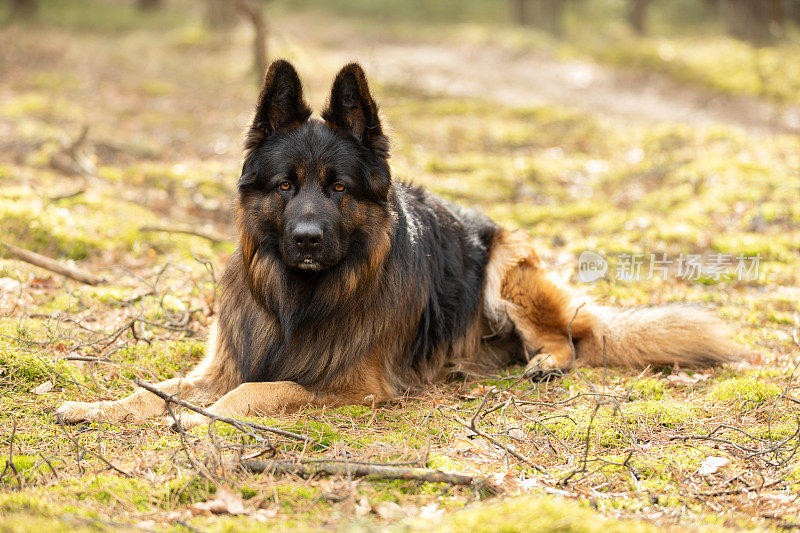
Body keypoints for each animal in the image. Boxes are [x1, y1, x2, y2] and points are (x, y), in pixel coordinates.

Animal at [54, 61, 744, 428]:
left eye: (337, 188)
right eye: (286, 185)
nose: (306, 239)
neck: (302, 297)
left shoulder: (349, 387)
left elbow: (256, 391)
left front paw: (202, 416)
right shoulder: (222, 363)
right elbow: (157, 389)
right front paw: (97, 406)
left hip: (507, 269)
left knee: (567, 338)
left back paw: (544, 362)